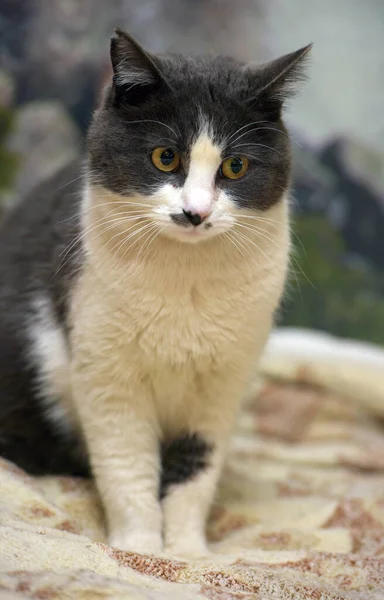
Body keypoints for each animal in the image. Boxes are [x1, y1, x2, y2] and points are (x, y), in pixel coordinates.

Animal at [0, 27, 310, 552]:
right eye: (166, 157)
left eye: (235, 167)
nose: (195, 212)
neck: (183, 282)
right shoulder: (108, 374)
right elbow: (126, 467)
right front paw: (139, 548)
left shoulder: (221, 384)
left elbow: (195, 470)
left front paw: (186, 551)